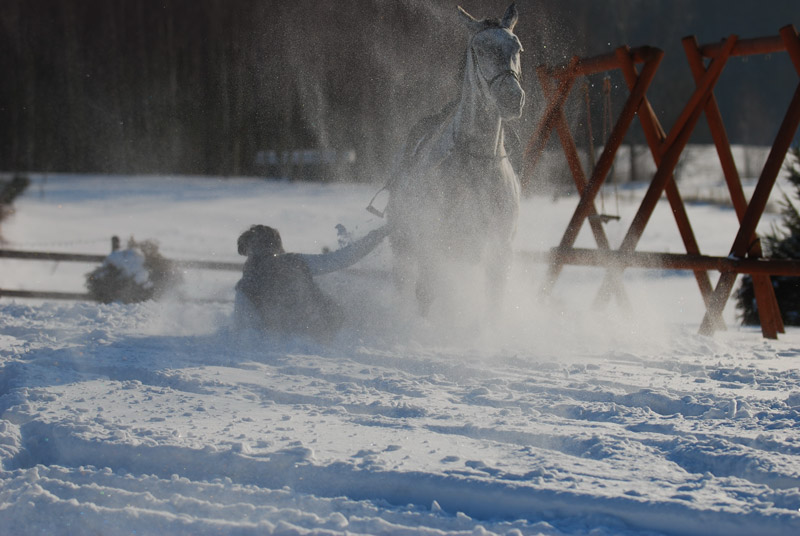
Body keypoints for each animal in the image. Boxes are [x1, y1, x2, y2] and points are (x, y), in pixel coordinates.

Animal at [386, 2, 524, 316]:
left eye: (517, 48)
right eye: (480, 49)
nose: (512, 97)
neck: (477, 162)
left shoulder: (499, 251)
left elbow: (494, 303)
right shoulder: (434, 246)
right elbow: (425, 294)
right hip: (403, 246)